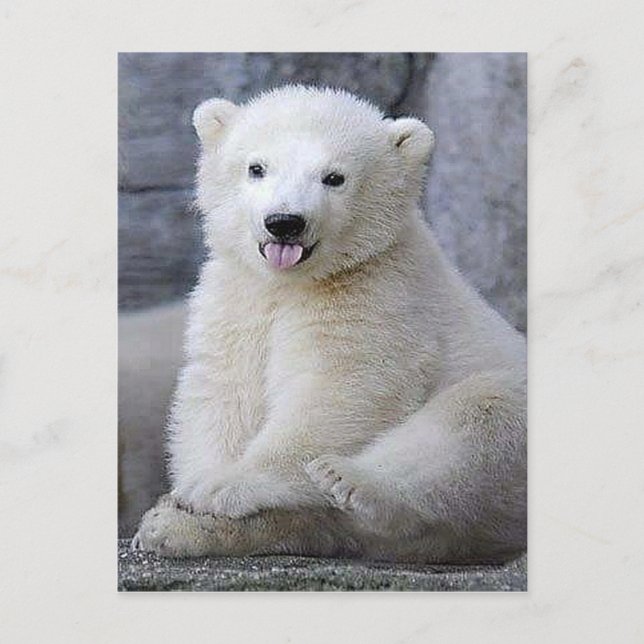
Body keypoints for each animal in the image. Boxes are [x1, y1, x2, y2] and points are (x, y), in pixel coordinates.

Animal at [132, 85, 527, 563]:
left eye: (334, 177)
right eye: (257, 168)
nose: (284, 222)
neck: (292, 283)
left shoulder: (378, 293)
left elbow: (340, 387)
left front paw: (222, 487)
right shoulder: (239, 298)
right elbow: (226, 391)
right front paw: (187, 502)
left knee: (481, 412)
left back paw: (350, 480)